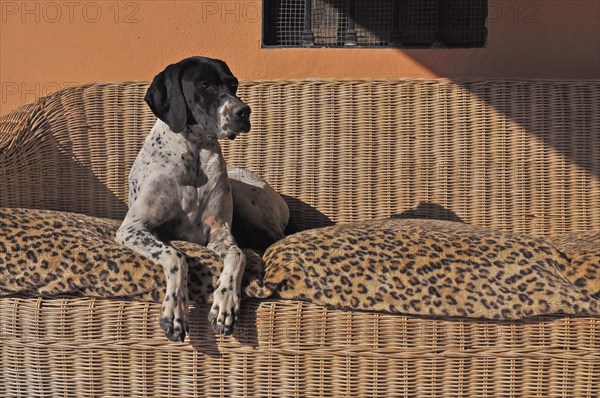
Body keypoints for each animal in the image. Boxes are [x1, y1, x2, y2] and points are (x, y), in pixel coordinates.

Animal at [116, 56, 288, 342]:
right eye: (205, 85)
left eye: (233, 84)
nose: (244, 111)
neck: (194, 154)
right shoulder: (132, 228)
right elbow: (176, 256)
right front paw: (174, 311)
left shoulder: (219, 233)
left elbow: (237, 256)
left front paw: (225, 305)